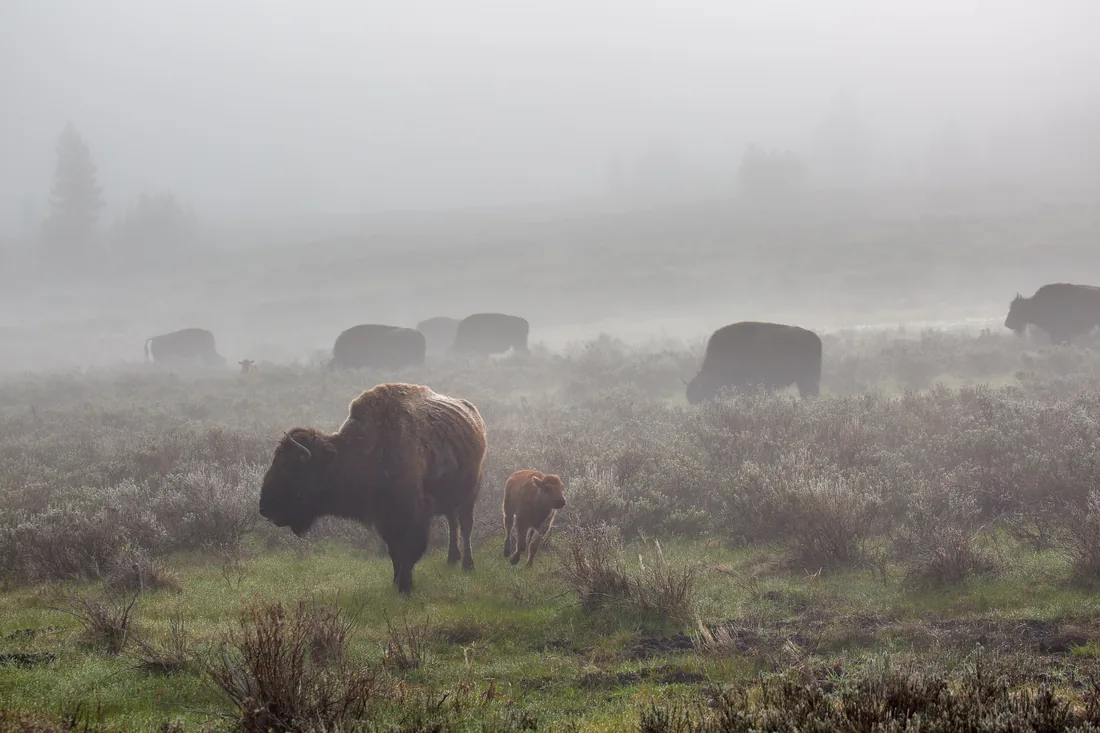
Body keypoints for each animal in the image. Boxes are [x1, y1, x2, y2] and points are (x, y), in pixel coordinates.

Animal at [258, 382, 488, 594]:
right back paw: (452, 559)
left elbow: (409, 550)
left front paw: (406, 586)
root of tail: (475, 418)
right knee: (453, 522)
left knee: (465, 526)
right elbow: (394, 551)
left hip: (469, 495)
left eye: (290, 470)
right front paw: (396, 581)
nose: (264, 508)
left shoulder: (414, 516)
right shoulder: (384, 519)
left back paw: (468, 565)